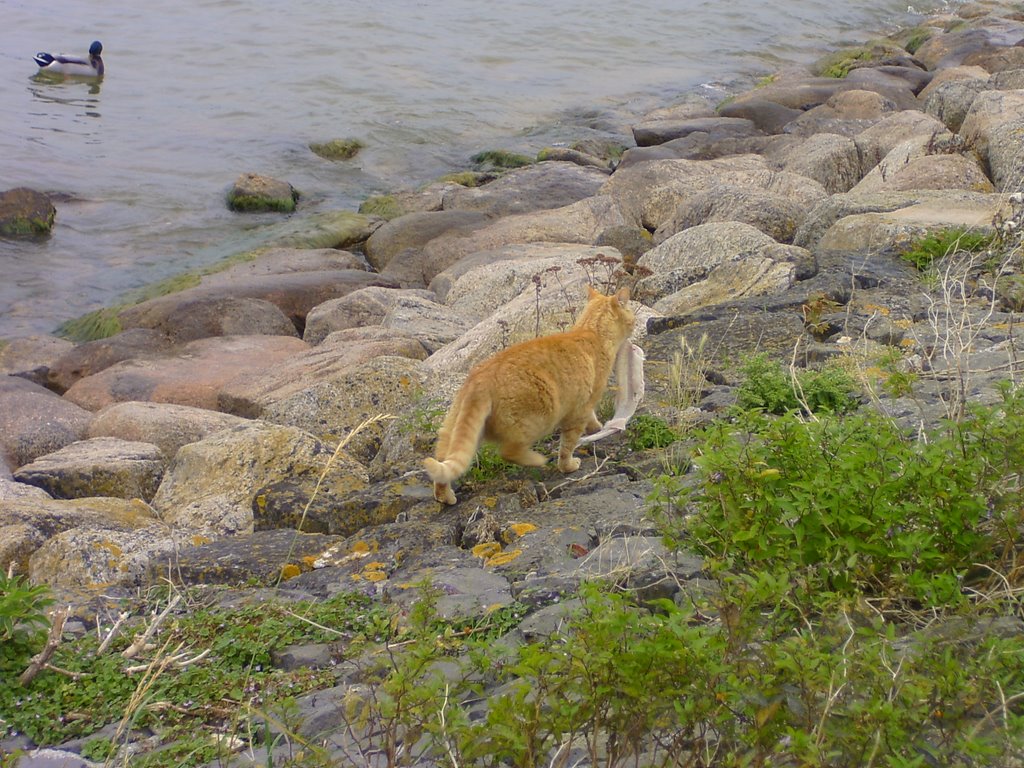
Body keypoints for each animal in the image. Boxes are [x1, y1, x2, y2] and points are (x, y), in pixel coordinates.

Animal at [421, 286, 630, 507]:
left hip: (453, 432)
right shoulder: (579, 410)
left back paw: (446, 497)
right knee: (508, 451)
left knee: (442, 469)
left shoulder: (583, 406)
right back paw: (537, 460)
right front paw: (569, 465)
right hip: (539, 418)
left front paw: (596, 427)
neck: (591, 331)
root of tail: (480, 379)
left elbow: (591, 419)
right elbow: (567, 446)